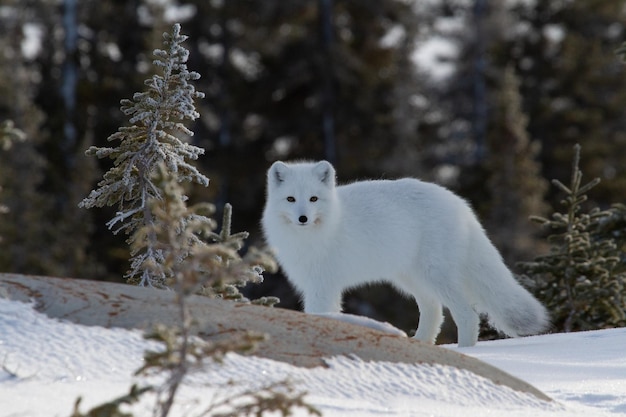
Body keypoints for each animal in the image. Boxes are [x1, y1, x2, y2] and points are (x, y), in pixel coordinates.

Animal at [260, 161, 548, 346]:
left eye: (313, 199)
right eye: (290, 199)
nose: (303, 218)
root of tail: (460, 204)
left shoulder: (323, 285)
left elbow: (319, 314)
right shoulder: (316, 285)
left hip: (435, 275)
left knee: (467, 314)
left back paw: (466, 351)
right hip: (410, 279)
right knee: (434, 310)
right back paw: (421, 343)